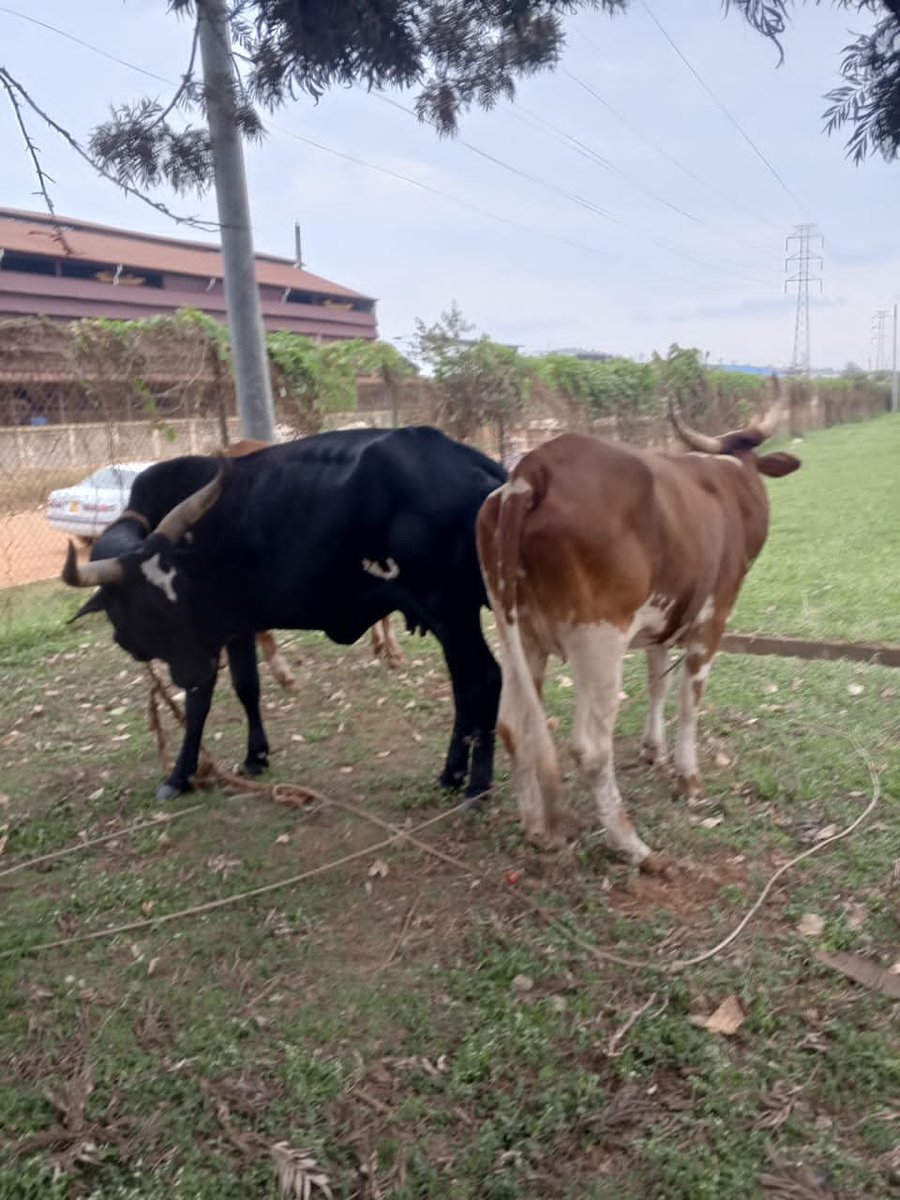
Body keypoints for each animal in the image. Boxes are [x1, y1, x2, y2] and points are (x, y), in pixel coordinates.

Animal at [62, 426, 505, 802]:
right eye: (147, 608)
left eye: (178, 595)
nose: (196, 667)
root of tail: (474, 462)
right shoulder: (235, 626)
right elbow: (247, 686)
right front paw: (256, 756)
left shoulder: (211, 632)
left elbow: (199, 703)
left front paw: (179, 776)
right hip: (453, 619)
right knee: (465, 686)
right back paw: (451, 775)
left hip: (449, 612)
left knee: (484, 678)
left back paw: (475, 787)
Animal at [476, 394, 800, 872]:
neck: (725, 484)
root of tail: (533, 469)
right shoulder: (712, 619)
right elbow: (688, 702)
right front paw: (688, 778)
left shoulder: (659, 625)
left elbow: (656, 684)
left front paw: (653, 748)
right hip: (599, 640)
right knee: (591, 748)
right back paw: (633, 846)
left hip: (518, 635)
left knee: (513, 725)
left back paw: (537, 828)